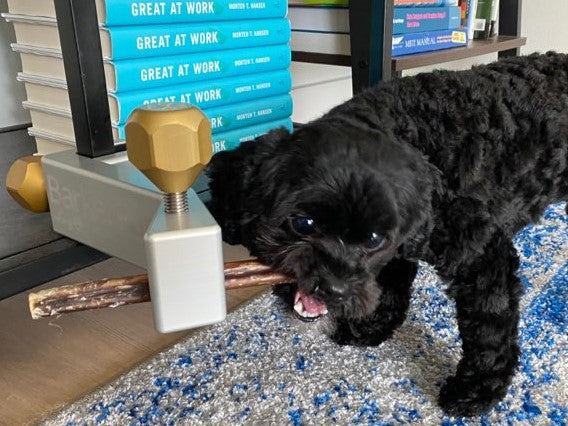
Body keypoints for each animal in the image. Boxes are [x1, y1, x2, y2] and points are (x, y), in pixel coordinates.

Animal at [207, 52, 568, 416]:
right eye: (303, 223)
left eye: (373, 239)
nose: (333, 289)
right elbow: (393, 282)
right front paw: (374, 325)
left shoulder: (483, 258)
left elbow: (489, 324)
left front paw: (477, 390)